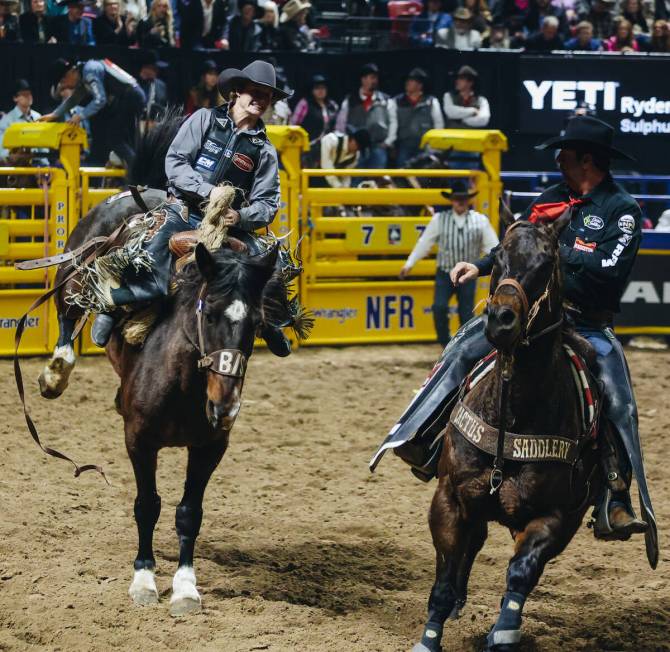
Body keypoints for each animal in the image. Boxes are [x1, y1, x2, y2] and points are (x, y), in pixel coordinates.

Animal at [414, 211, 604, 648]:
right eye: (497, 255)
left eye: (548, 262)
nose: (501, 319)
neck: (511, 418)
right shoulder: (449, 499)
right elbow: (444, 577)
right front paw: (430, 636)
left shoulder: (557, 517)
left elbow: (520, 573)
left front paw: (503, 630)